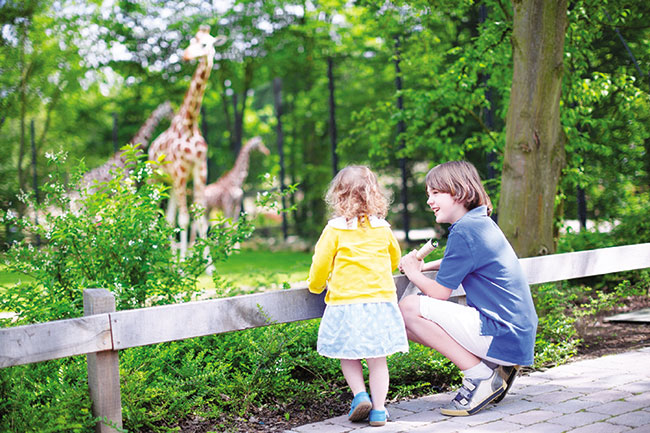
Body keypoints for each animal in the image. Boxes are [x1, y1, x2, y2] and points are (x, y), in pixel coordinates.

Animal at [148, 26, 226, 258]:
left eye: (205, 44)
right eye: (191, 41)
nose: (185, 55)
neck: (189, 125)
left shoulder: (200, 171)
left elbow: (199, 219)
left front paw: (208, 264)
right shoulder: (181, 170)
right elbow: (184, 219)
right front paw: (184, 263)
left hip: (172, 183)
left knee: (168, 218)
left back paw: (172, 259)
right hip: (156, 179)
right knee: (152, 214)